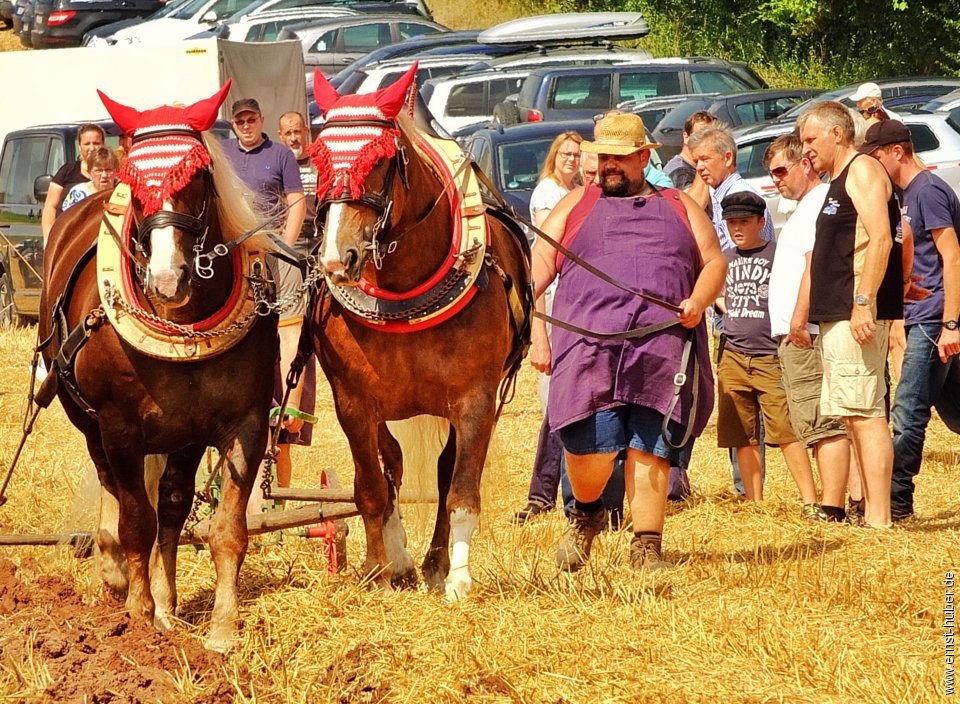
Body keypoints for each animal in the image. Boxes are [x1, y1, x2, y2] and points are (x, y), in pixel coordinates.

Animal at [37, 84, 276, 656]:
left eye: (196, 176)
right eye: (137, 182)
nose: (168, 280)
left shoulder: (246, 423)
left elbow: (225, 528)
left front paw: (220, 631)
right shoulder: (120, 427)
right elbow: (136, 523)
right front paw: (138, 615)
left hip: (184, 434)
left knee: (172, 504)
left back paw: (168, 605)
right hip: (91, 423)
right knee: (115, 492)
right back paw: (117, 575)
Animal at [308, 66, 528, 596]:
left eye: (380, 159)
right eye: (317, 156)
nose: (337, 258)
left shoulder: (476, 400)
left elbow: (461, 489)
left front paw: (459, 578)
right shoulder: (353, 404)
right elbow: (371, 488)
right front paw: (378, 569)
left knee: (446, 472)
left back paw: (434, 562)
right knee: (391, 466)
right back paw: (402, 559)